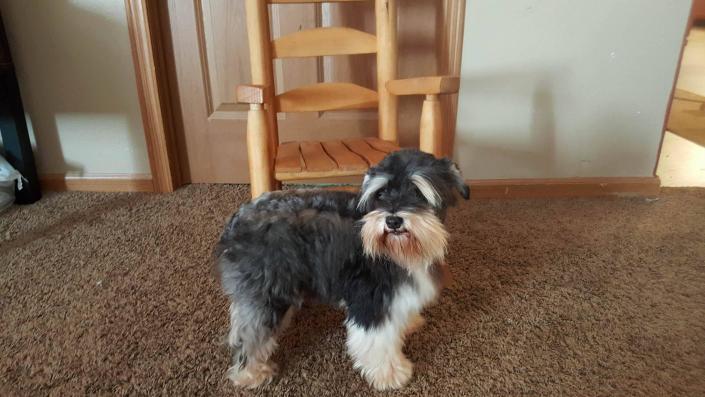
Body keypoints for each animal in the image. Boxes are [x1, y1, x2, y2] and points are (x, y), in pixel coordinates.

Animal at [213, 148, 468, 390]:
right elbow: (378, 342)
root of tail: (235, 222)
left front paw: (409, 323)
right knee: (251, 333)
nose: (393, 221)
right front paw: (390, 374)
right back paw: (251, 373)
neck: (401, 252)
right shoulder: (371, 299)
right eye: (381, 193)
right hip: (268, 290)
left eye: (417, 192)